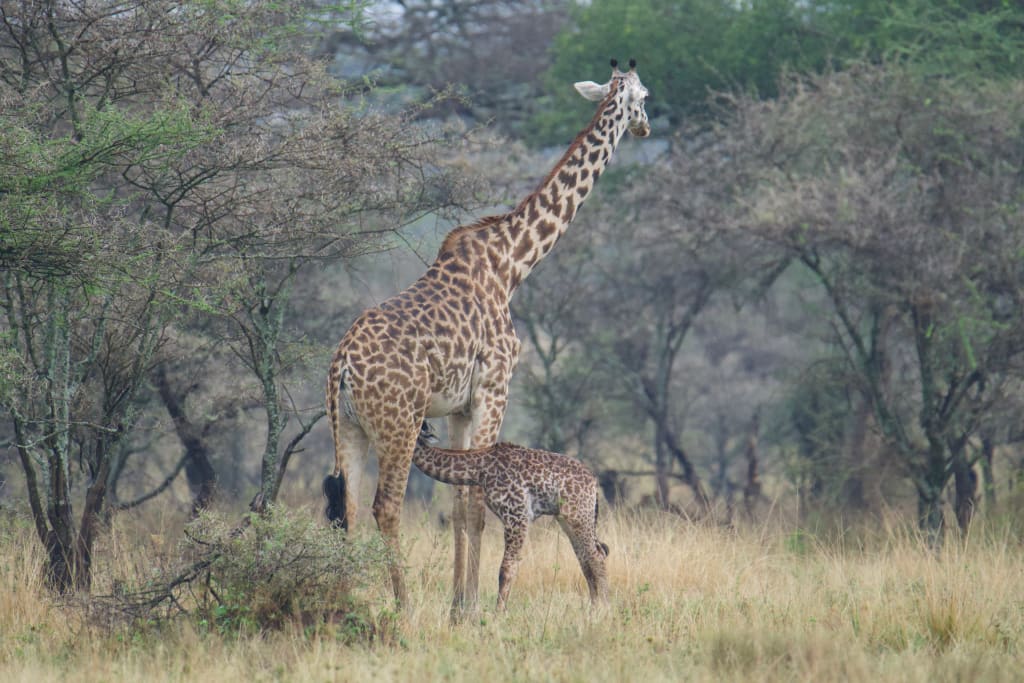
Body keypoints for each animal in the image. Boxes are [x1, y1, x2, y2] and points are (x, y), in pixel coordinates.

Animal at [412, 422, 609, 610]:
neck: (480, 470)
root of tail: (593, 482)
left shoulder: (517, 514)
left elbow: (506, 568)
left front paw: (498, 613)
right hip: (567, 519)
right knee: (587, 558)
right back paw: (593, 608)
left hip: (578, 515)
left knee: (596, 557)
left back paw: (603, 609)